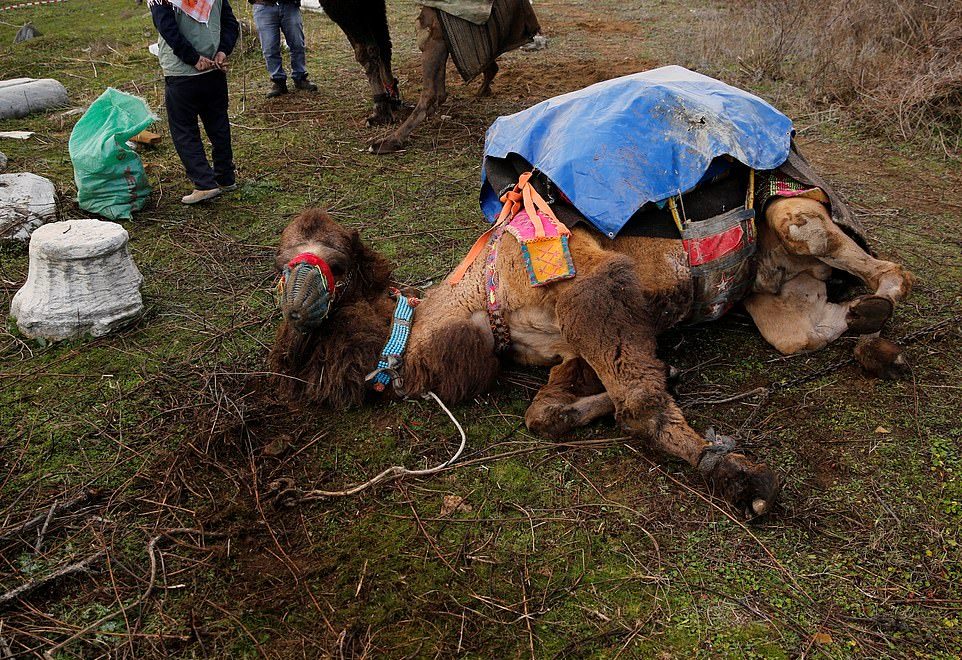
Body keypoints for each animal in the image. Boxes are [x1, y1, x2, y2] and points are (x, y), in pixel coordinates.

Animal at [268, 183, 908, 520]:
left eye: (336, 263)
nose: (296, 293)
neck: (479, 299)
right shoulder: (566, 344)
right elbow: (547, 412)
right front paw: (667, 372)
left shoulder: (587, 284)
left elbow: (638, 402)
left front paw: (734, 474)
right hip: (773, 298)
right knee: (807, 328)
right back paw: (869, 326)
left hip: (796, 218)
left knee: (889, 267)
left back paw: (880, 327)